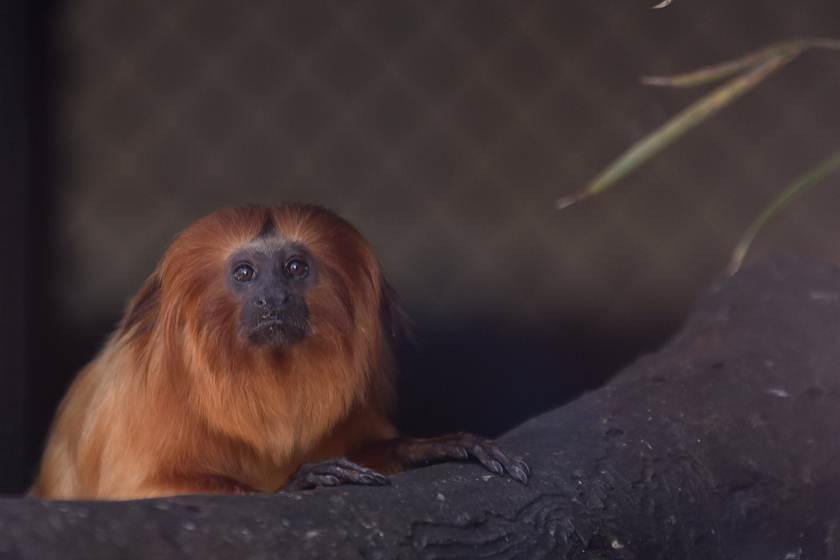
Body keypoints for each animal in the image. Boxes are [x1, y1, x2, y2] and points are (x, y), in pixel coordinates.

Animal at [34, 205, 532, 498]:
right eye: (246, 274)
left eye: (294, 268)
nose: (274, 298)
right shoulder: (140, 401)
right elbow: (139, 489)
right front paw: (297, 481)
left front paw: (434, 448)